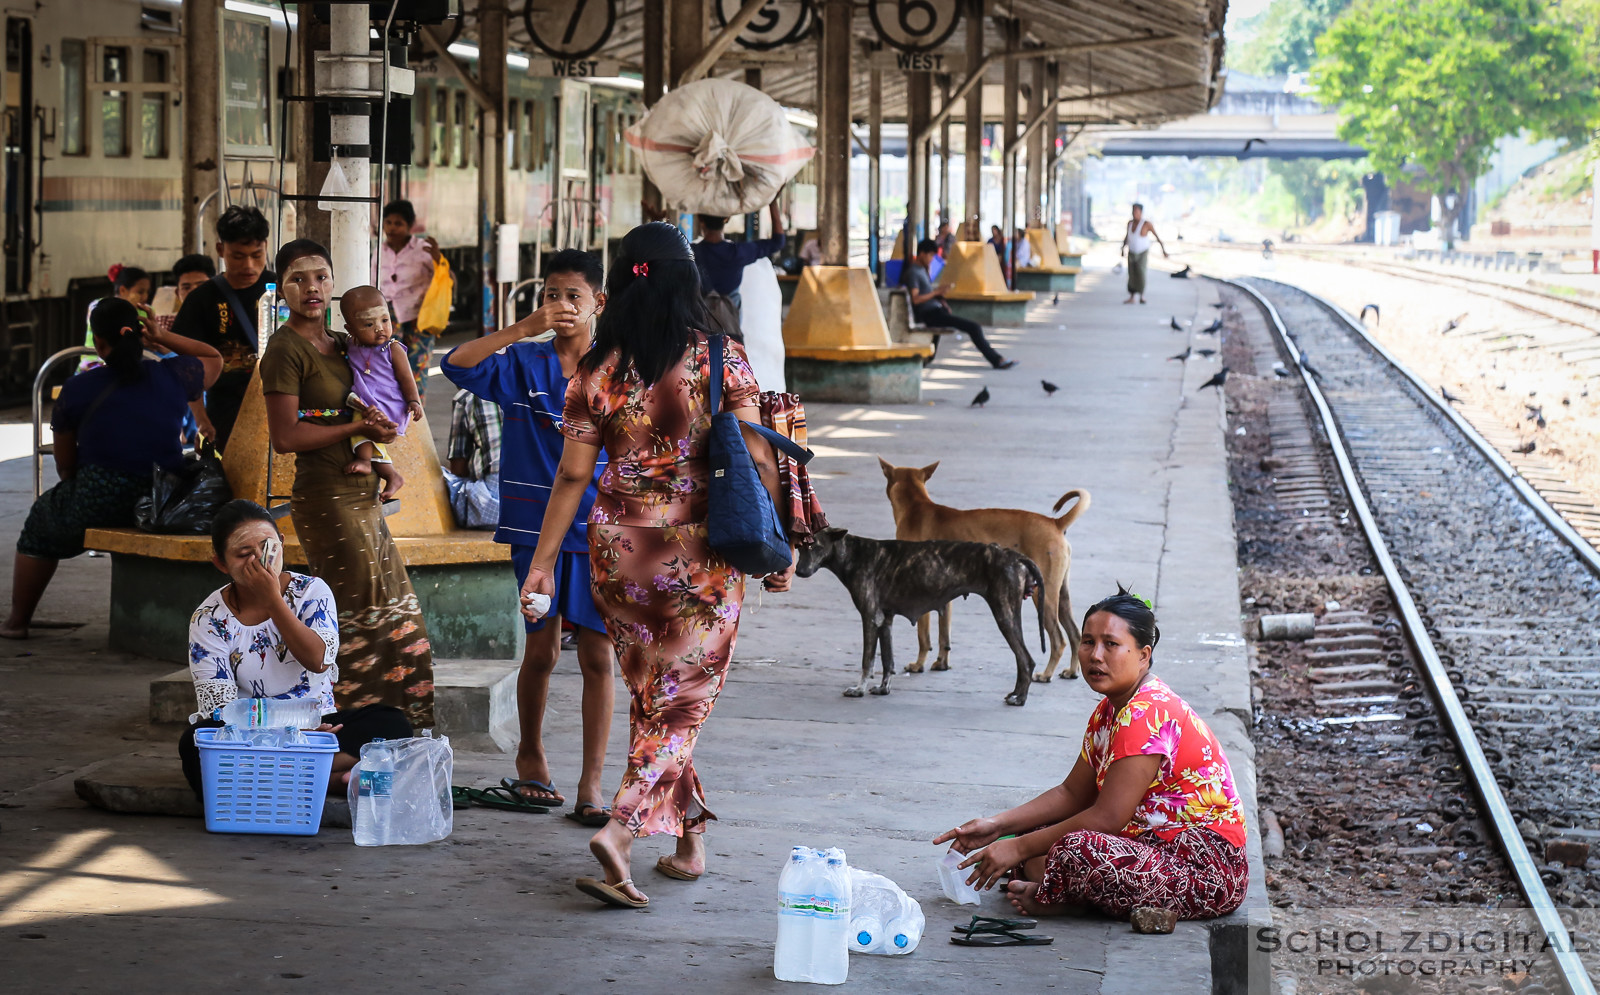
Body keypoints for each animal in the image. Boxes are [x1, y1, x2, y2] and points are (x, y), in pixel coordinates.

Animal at [796, 531, 1049, 710]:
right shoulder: (885, 621)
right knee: (1022, 660)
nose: (799, 572)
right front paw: (883, 688)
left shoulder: (870, 618)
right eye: (799, 546)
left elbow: (867, 661)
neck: (852, 553)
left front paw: (859, 689)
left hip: (1004, 615)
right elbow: (887, 661)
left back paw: (1020, 698)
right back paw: (1016, 694)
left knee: (1026, 660)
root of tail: (1014, 556)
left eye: (816, 546)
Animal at [876, 460, 1088, 681]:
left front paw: (918, 664)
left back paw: (1046, 674)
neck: (916, 506)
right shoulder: (944, 598)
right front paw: (941, 663)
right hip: (1061, 596)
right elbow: (944, 636)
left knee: (1058, 640)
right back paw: (1072, 670)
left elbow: (923, 637)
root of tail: (1055, 523)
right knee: (1075, 634)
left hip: (1043, 597)